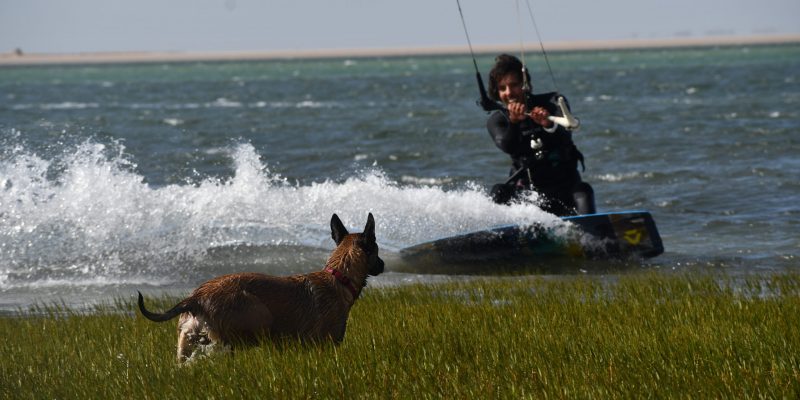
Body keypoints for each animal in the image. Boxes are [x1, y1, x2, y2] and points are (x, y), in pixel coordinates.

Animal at [137, 214, 384, 364]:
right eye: (377, 250)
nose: (383, 265)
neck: (339, 277)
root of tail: (197, 297)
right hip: (258, 316)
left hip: (187, 342)